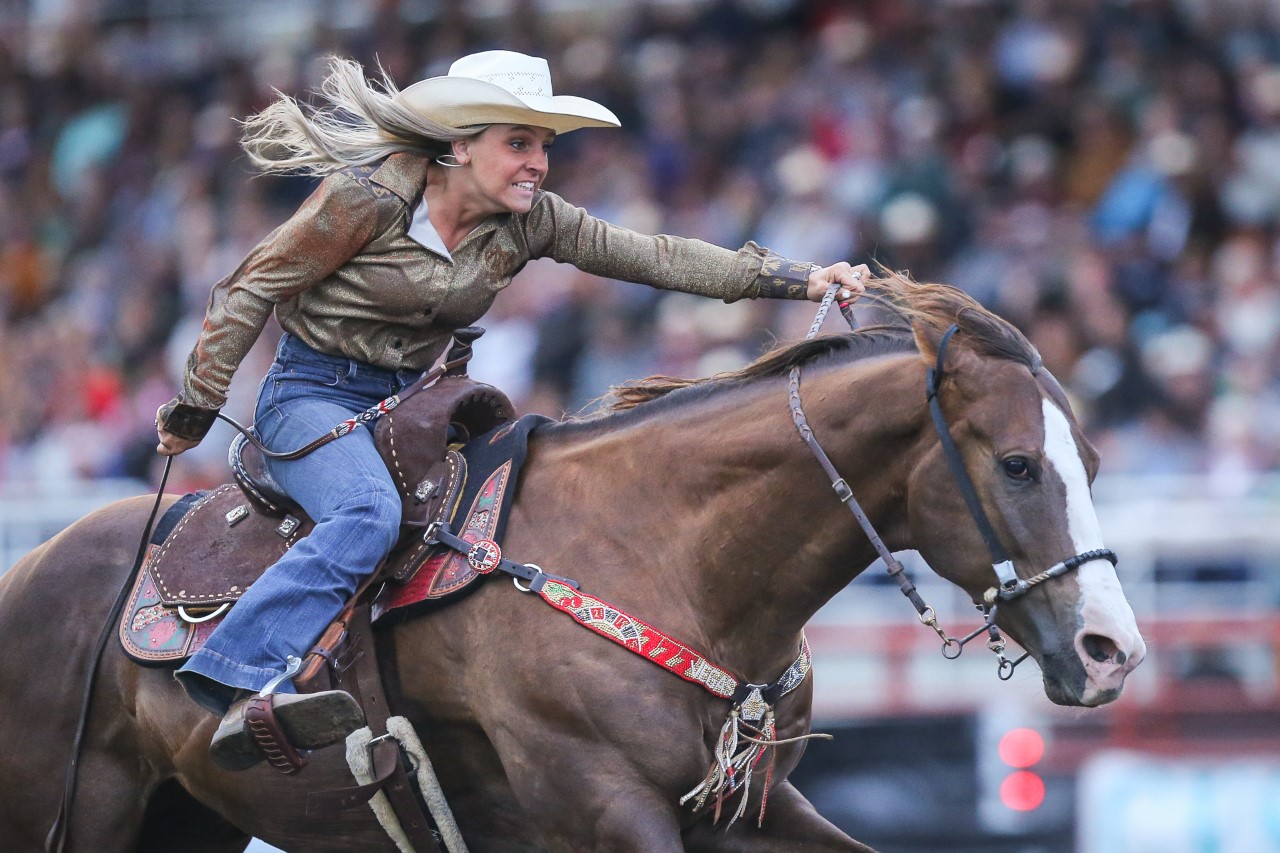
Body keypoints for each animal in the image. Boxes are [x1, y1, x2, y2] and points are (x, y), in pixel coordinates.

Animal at [0, 274, 1141, 850]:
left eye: (1092, 460)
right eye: (1017, 463)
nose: (1112, 651)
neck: (671, 556)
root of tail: (33, 568)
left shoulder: (751, 810)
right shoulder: (599, 803)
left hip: (179, 820)